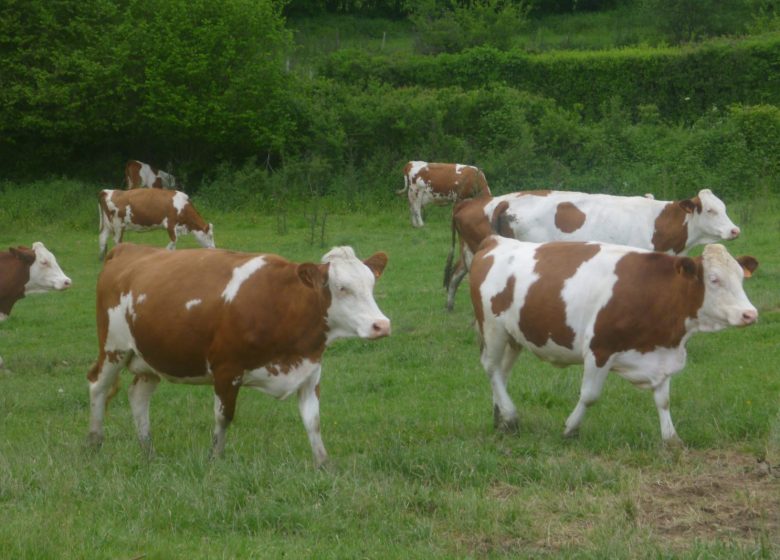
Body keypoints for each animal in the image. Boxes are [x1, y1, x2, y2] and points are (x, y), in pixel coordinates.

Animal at [87, 243, 390, 466]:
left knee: (138, 396)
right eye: (342, 288)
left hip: (150, 357)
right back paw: (94, 443)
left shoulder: (309, 371)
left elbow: (313, 421)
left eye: (371, 285)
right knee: (97, 386)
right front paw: (215, 460)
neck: (283, 304)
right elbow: (224, 418)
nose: (382, 325)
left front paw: (324, 466)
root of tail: (128, 248)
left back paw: (148, 452)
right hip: (113, 348)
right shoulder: (226, 370)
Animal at [466, 235, 760, 442]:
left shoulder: (662, 355)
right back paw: (511, 415)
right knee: (491, 368)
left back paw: (500, 417)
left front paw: (671, 438)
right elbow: (589, 395)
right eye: (714, 279)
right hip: (492, 329)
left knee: (502, 373)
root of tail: (495, 241)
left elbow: (663, 400)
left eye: (740, 278)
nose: (750, 314)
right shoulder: (599, 349)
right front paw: (571, 428)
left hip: (513, 336)